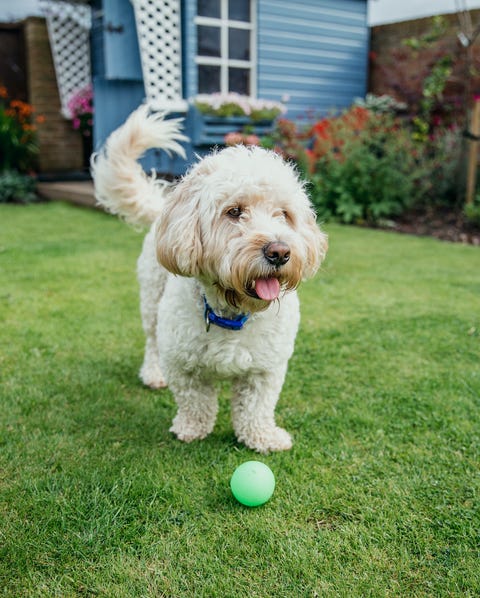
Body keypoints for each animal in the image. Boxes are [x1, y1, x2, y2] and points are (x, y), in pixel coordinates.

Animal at [92, 106, 328, 454]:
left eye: (283, 214)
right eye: (234, 211)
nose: (279, 252)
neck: (233, 312)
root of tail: (165, 208)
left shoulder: (266, 369)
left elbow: (257, 407)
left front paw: (262, 437)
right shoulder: (183, 363)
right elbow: (196, 401)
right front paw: (191, 429)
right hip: (152, 302)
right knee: (151, 342)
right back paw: (153, 373)